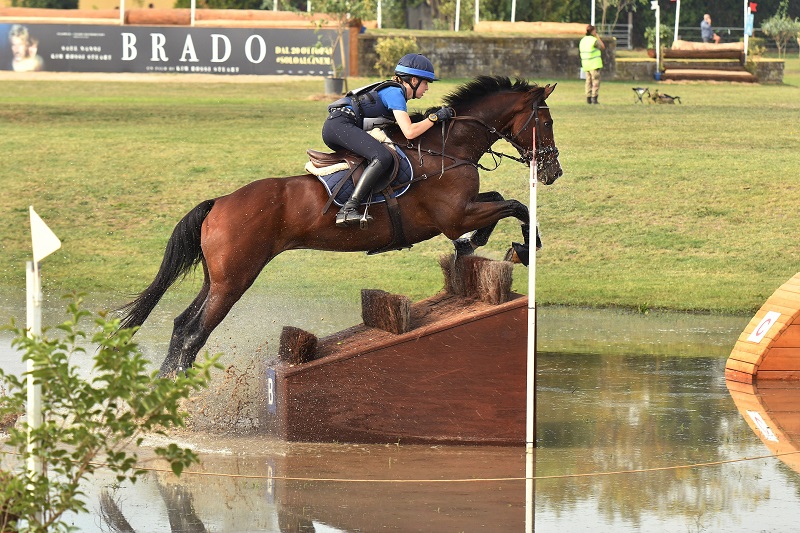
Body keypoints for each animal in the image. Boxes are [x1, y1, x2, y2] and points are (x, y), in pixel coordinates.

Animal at [119, 75, 564, 376]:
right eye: (545, 122)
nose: (553, 171)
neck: (447, 149)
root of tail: (220, 203)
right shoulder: (454, 215)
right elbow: (516, 206)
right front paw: (522, 248)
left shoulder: (465, 209)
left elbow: (501, 201)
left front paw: (479, 245)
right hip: (235, 279)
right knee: (195, 333)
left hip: (217, 278)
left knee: (181, 326)